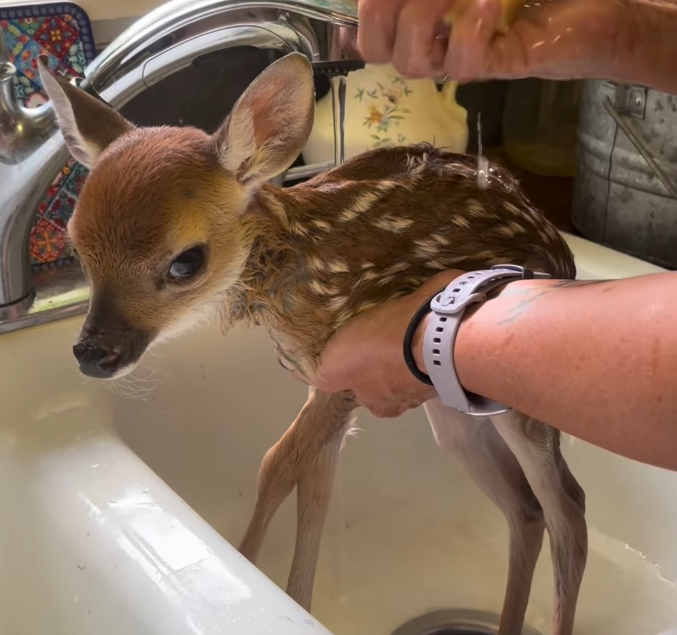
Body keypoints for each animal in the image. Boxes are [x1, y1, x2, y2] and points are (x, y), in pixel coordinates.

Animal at [38, 51, 587, 635]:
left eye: (185, 262)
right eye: (76, 248)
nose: (93, 354)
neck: (297, 266)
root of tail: (565, 254)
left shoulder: (343, 370)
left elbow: (279, 463)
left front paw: (247, 565)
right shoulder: (331, 381)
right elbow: (310, 484)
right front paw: (283, 593)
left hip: (524, 395)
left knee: (568, 506)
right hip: (451, 409)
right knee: (525, 508)